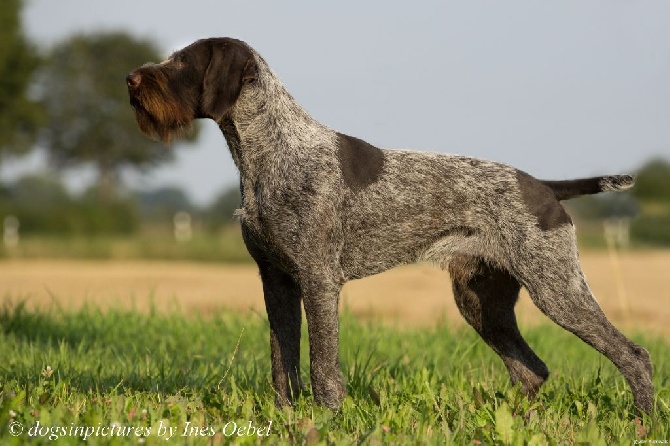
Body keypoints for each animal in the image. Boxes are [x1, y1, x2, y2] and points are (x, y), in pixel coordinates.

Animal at [127, 38, 656, 414]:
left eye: (182, 63)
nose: (130, 79)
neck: (272, 153)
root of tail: (544, 186)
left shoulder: (318, 280)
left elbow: (322, 366)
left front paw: (327, 420)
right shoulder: (275, 280)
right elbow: (282, 363)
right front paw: (284, 419)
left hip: (557, 288)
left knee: (634, 356)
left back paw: (642, 422)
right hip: (481, 301)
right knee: (532, 371)